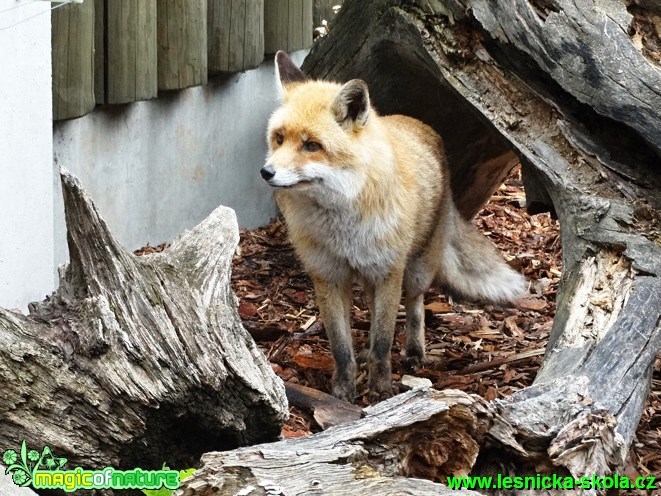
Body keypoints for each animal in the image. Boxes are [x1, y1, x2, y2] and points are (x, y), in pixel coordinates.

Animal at [260, 52, 524, 404]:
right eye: (278, 138)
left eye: (311, 146)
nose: (267, 172)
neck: (343, 225)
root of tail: (419, 124)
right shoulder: (328, 275)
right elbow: (340, 345)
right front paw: (343, 389)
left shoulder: (389, 270)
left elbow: (384, 339)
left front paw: (381, 389)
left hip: (415, 270)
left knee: (415, 307)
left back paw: (414, 351)